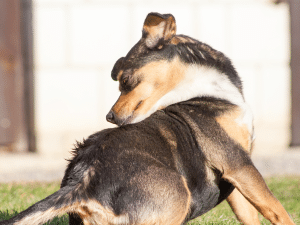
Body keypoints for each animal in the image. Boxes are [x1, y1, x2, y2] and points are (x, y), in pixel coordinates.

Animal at [0, 12, 294, 225]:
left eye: (125, 81)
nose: (109, 116)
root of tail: (82, 180)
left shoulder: (236, 174)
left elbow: (251, 214)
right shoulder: (238, 164)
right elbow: (277, 210)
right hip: (178, 198)